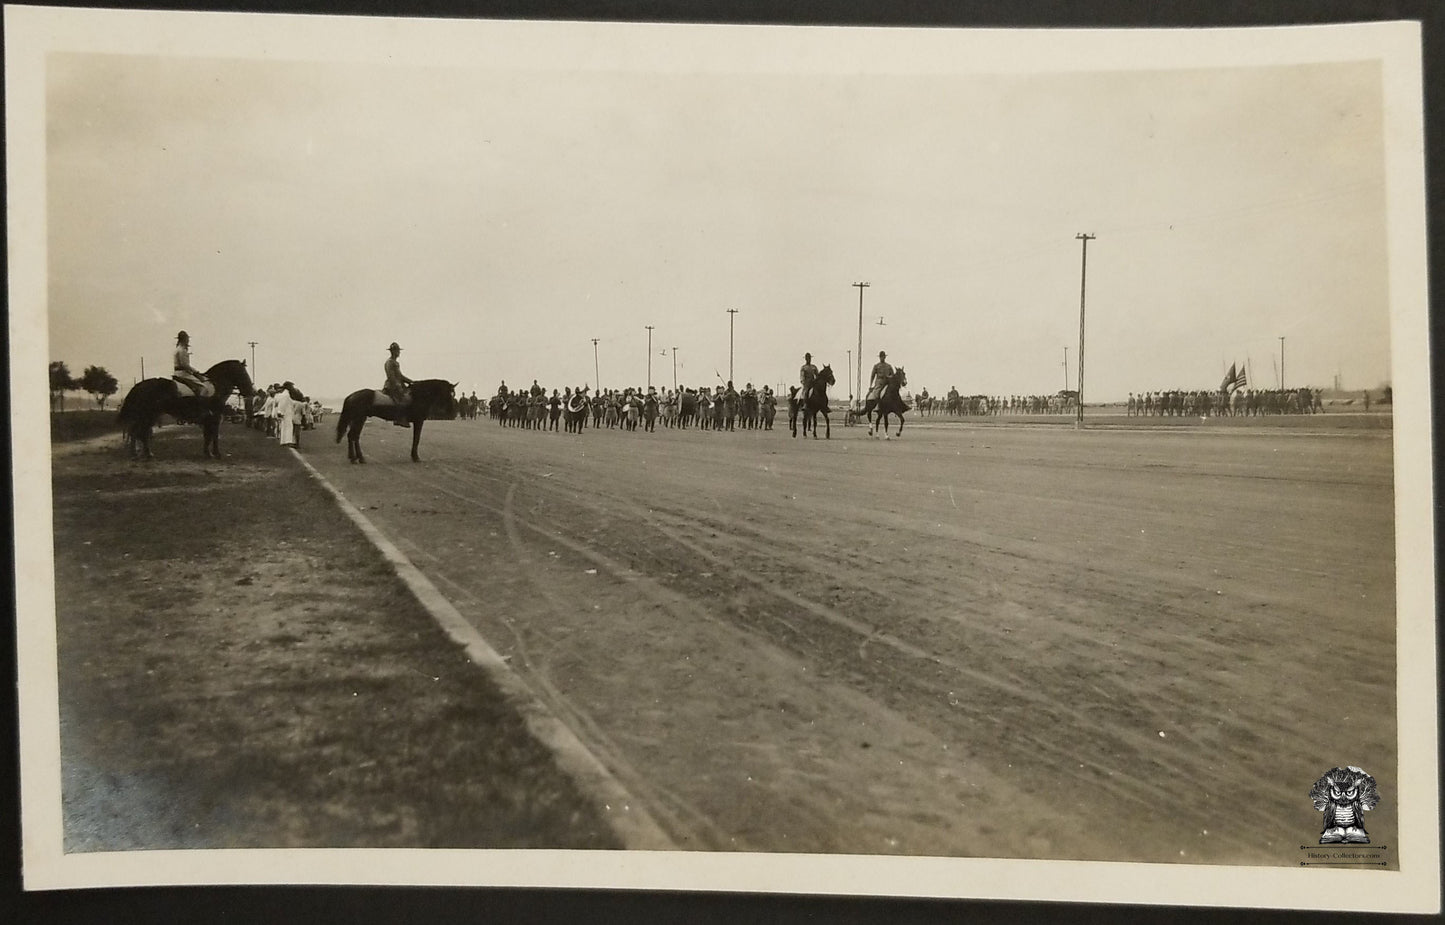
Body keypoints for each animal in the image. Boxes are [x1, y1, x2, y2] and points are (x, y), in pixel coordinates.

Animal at [117, 361, 257, 462]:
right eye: (243, 373)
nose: (251, 391)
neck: (215, 386)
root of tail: (139, 385)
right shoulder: (215, 418)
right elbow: (214, 436)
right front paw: (216, 454)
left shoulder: (208, 420)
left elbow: (208, 436)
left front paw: (208, 453)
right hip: (147, 415)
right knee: (137, 432)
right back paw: (136, 454)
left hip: (150, 415)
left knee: (141, 433)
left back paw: (146, 453)